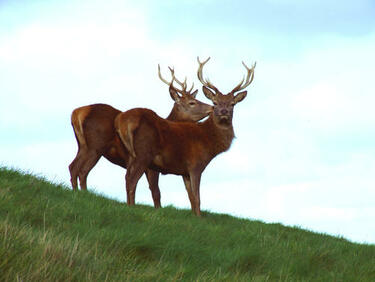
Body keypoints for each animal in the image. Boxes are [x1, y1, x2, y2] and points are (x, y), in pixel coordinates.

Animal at [68, 65, 213, 208]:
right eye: (192, 102)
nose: (212, 107)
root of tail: (77, 113)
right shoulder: (151, 166)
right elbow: (156, 191)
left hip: (82, 145)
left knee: (72, 166)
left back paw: (76, 193)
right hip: (96, 146)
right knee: (83, 171)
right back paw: (85, 195)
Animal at [114, 56, 256, 216]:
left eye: (233, 104)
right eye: (215, 102)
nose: (223, 112)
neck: (209, 141)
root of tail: (123, 120)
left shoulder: (184, 172)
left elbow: (191, 199)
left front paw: (195, 216)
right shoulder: (195, 165)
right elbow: (197, 198)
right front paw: (200, 218)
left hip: (131, 155)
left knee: (127, 178)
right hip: (144, 153)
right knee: (132, 181)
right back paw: (131, 208)